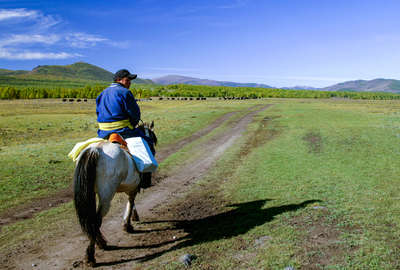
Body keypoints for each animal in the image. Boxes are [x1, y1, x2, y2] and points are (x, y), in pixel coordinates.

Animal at [72, 121, 157, 266]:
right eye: (151, 138)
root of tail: (96, 150)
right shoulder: (133, 187)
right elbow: (131, 202)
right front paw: (128, 225)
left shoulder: (131, 186)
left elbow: (131, 202)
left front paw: (133, 218)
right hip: (106, 196)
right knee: (96, 220)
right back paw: (91, 255)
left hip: (91, 193)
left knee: (92, 220)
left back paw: (99, 243)